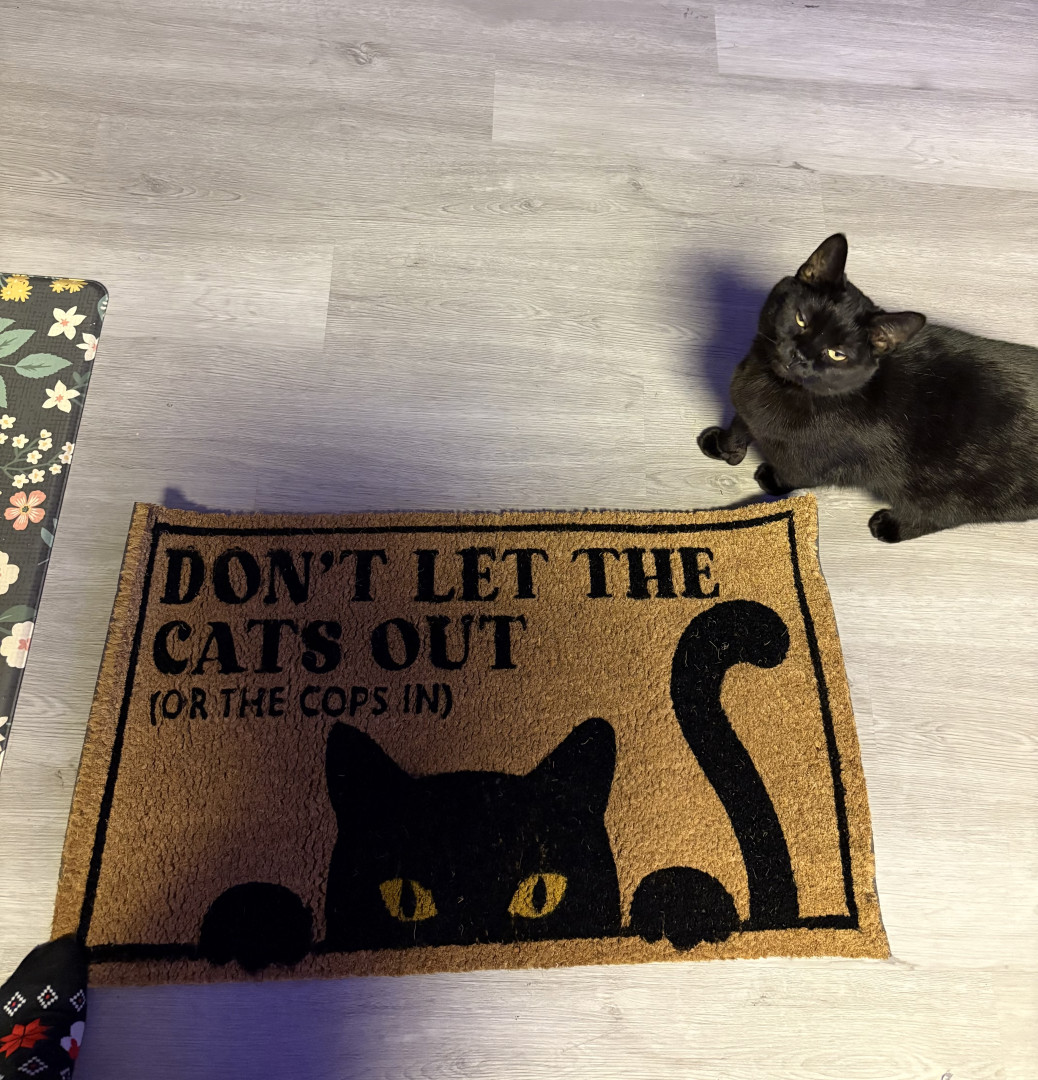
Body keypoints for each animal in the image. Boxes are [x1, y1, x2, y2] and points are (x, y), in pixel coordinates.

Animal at [698, 234, 1038, 542]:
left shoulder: (814, 463)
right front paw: (722, 446)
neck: (770, 383)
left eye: (837, 354)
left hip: (955, 493)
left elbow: (795, 474)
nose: (799, 356)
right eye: (801, 319)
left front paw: (772, 480)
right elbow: (739, 426)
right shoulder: (746, 408)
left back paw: (889, 526)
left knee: (940, 516)